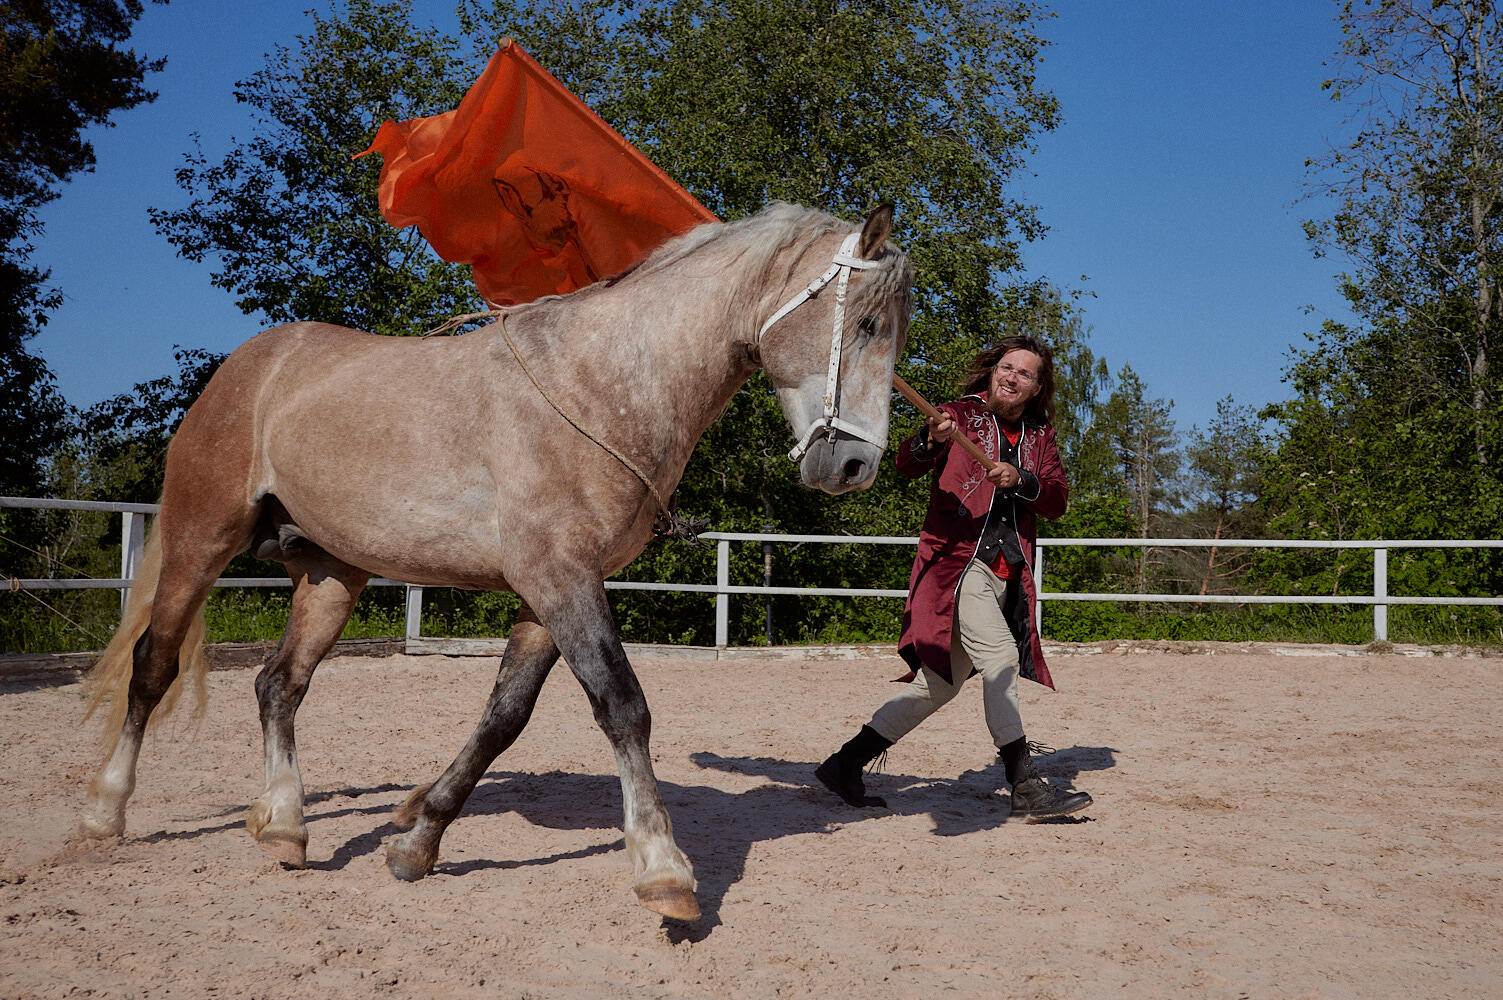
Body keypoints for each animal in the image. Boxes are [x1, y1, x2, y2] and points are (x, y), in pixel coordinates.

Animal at [82, 201, 907, 920]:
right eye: (865, 323)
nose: (855, 465)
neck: (603, 385)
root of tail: (250, 364)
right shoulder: (558, 578)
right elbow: (623, 707)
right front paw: (662, 869)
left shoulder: (549, 592)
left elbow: (502, 719)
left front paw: (417, 840)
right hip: (200, 539)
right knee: (153, 666)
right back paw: (104, 814)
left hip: (331, 573)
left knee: (279, 684)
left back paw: (284, 823)